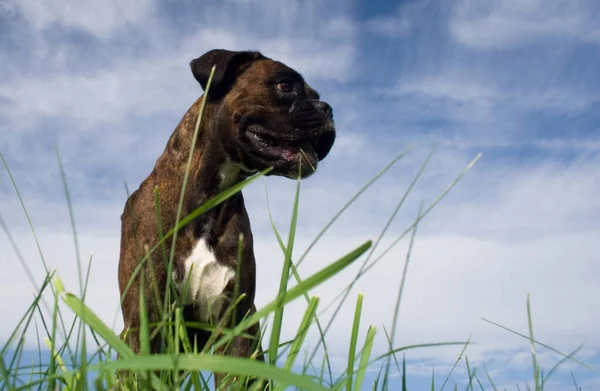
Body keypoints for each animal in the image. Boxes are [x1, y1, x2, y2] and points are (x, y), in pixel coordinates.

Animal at [115, 47, 336, 388]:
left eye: (316, 97)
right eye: (285, 86)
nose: (328, 109)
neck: (208, 198)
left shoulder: (235, 323)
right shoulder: (146, 318)